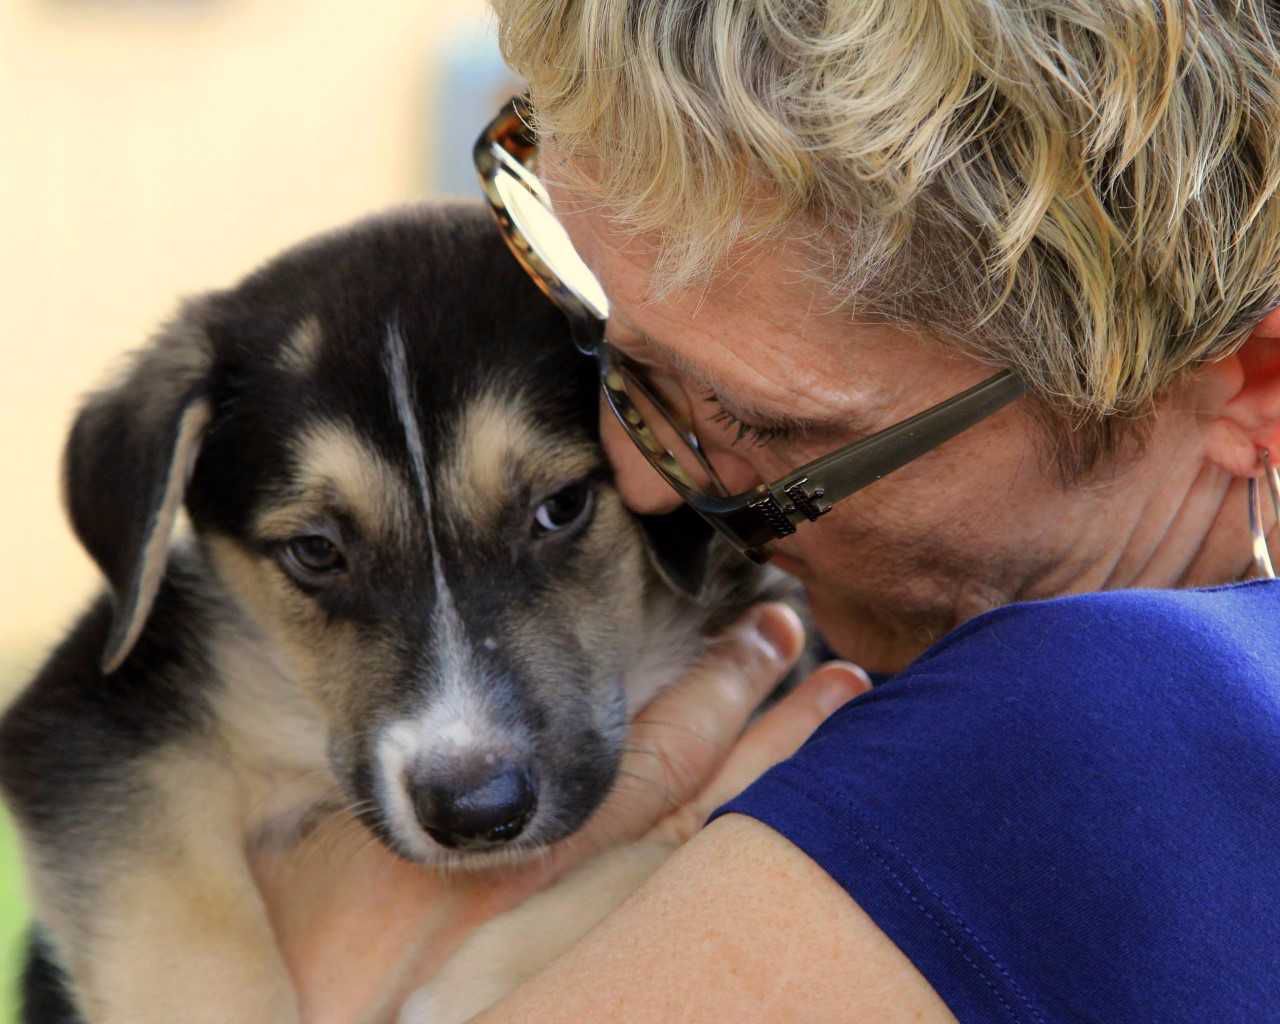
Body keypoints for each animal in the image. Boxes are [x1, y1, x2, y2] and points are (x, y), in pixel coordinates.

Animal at [0, 203, 783, 1018]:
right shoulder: (91, 716)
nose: (477, 813)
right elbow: (186, 943)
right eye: (315, 551)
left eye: (562, 507)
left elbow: (678, 847)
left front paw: (461, 992)